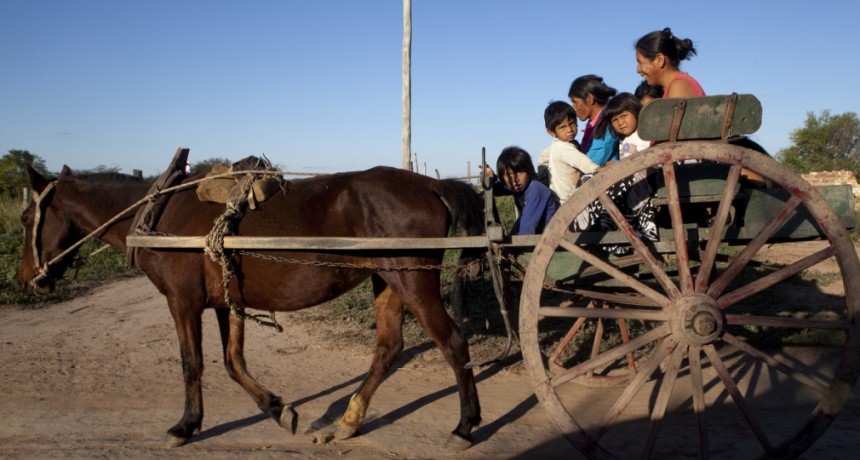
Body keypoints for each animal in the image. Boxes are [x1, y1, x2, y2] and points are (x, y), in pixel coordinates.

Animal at [16, 164, 488, 452]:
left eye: (24, 219)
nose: (25, 279)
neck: (156, 215)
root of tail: (430, 184)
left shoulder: (183, 301)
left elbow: (192, 362)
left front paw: (186, 425)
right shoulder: (227, 302)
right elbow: (232, 362)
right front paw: (279, 410)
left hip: (411, 279)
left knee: (453, 342)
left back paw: (465, 426)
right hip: (387, 279)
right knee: (389, 348)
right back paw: (350, 419)